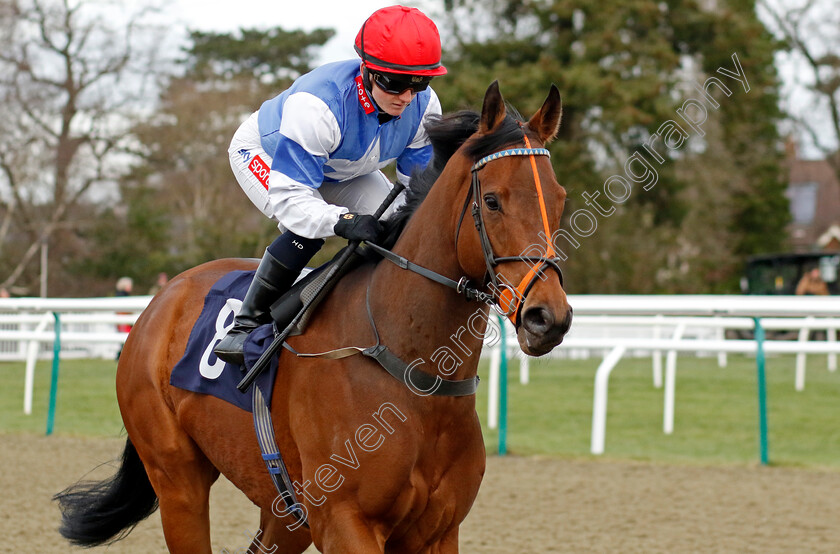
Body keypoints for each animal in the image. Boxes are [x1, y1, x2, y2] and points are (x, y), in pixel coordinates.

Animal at [55, 80, 576, 548]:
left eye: (560, 198)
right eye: (492, 200)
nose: (547, 317)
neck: (409, 367)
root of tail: (162, 300)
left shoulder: (437, 530)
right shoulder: (344, 521)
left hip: (283, 509)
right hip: (178, 481)